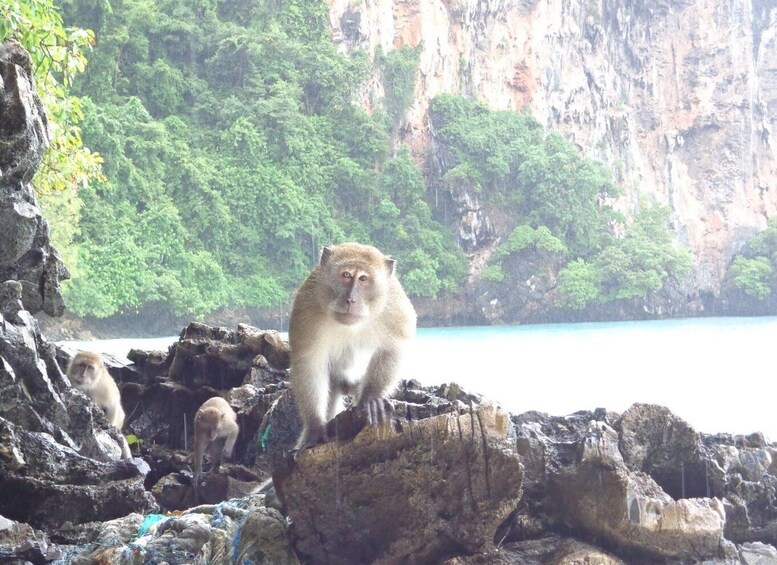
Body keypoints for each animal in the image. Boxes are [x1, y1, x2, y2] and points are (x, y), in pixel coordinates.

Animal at [288, 242, 416, 450]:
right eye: (346, 275)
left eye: (363, 278)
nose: (350, 299)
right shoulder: (307, 308)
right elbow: (309, 363)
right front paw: (315, 426)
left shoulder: (394, 308)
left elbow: (392, 349)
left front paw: (371, 399)